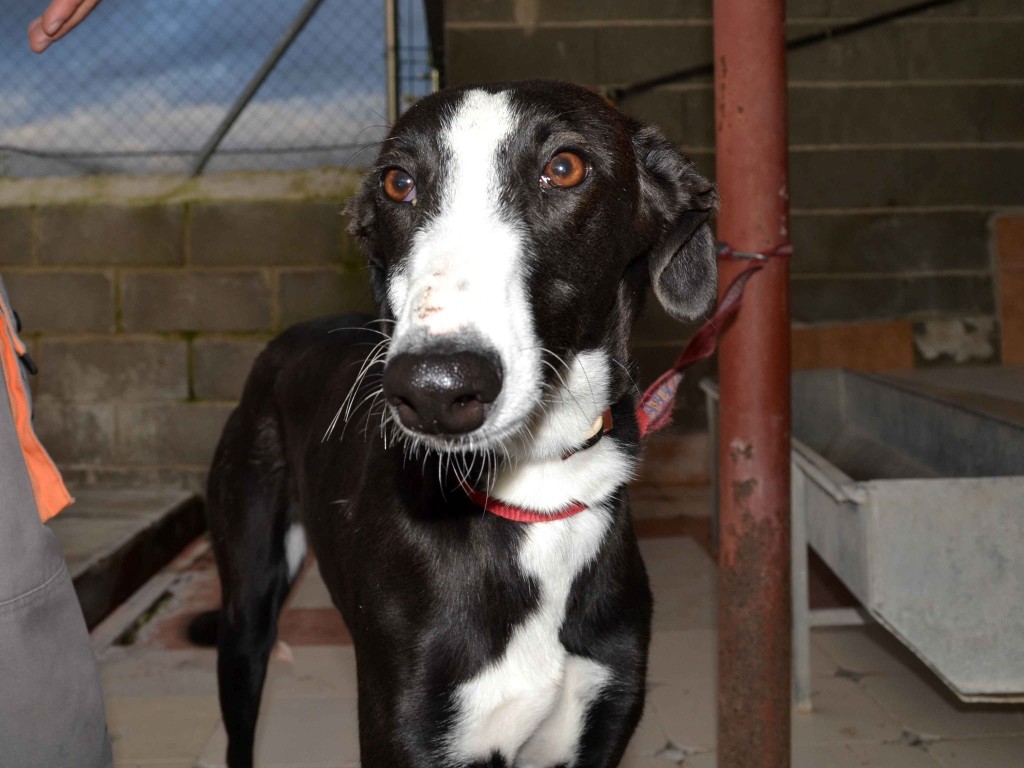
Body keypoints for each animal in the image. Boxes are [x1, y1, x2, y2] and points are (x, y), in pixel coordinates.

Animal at [205, 81, 720, 765]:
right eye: (398, 182)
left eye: (565, 167)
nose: (435, 389)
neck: (535, 496)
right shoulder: (412, 729)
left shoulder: (600, 718)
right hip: (246, 609)